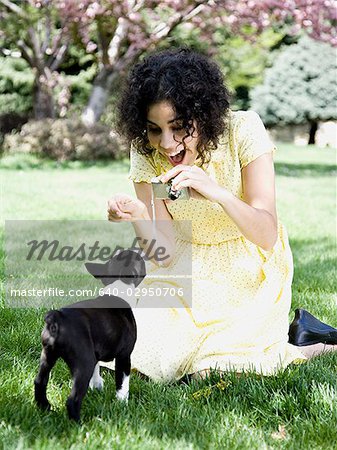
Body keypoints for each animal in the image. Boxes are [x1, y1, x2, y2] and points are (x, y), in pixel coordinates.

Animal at [33, 250, 144, 422]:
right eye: (138, 259)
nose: (140, 251)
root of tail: (58, 317)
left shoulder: (96, 350)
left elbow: (97, 369)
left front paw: (97, 386)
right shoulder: (124, 356)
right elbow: (123, 382)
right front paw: (123, 404)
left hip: (48, 355)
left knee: (40, 381)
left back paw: (45, 409)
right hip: (83, 362)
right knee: (73, 398)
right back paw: (79, 423)